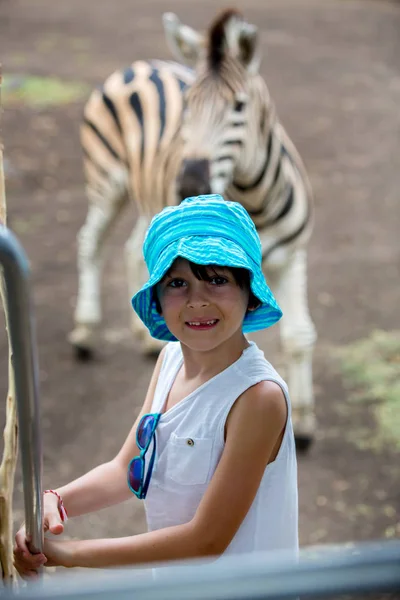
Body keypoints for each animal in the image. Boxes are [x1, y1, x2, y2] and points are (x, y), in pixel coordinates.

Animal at [70, 8, 318, 450]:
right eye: (188, 106)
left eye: (239, 105)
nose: (189, 185)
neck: (256, 202)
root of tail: (142, 64)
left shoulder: (293, 256)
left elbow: (299, 335)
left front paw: (303, 424)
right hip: (105, 181)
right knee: (90, 243)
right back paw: (84, 330)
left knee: (131, 250)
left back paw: (141, 337)